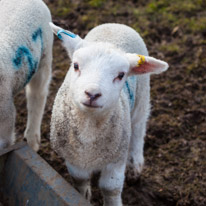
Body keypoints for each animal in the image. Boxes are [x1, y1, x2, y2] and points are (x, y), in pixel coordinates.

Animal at [50, 21, 169, 205]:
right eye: (75, 66)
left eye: (121, 75)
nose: (92, 94)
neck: (89, 127)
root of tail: (115, 24)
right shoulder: (72, 157)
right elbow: (79, 180)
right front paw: (83, 196)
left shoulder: (116, 158)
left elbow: (110, 188)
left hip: (141, 98)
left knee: (138, 128)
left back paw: (135, 164)